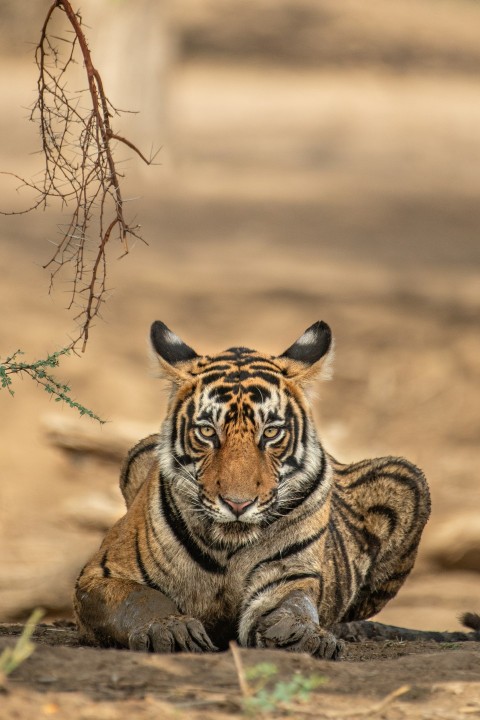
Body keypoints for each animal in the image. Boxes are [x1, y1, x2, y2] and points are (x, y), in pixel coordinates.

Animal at [74, 320, 480, 658]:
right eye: (207, 431)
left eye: (270, 433)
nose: (237, 504)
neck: (228, 544)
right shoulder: (100, 575)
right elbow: (141, 598)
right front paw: (171, 631)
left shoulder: (288, 577)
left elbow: (293, 605)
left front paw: (303, 635)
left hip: (407, 475)